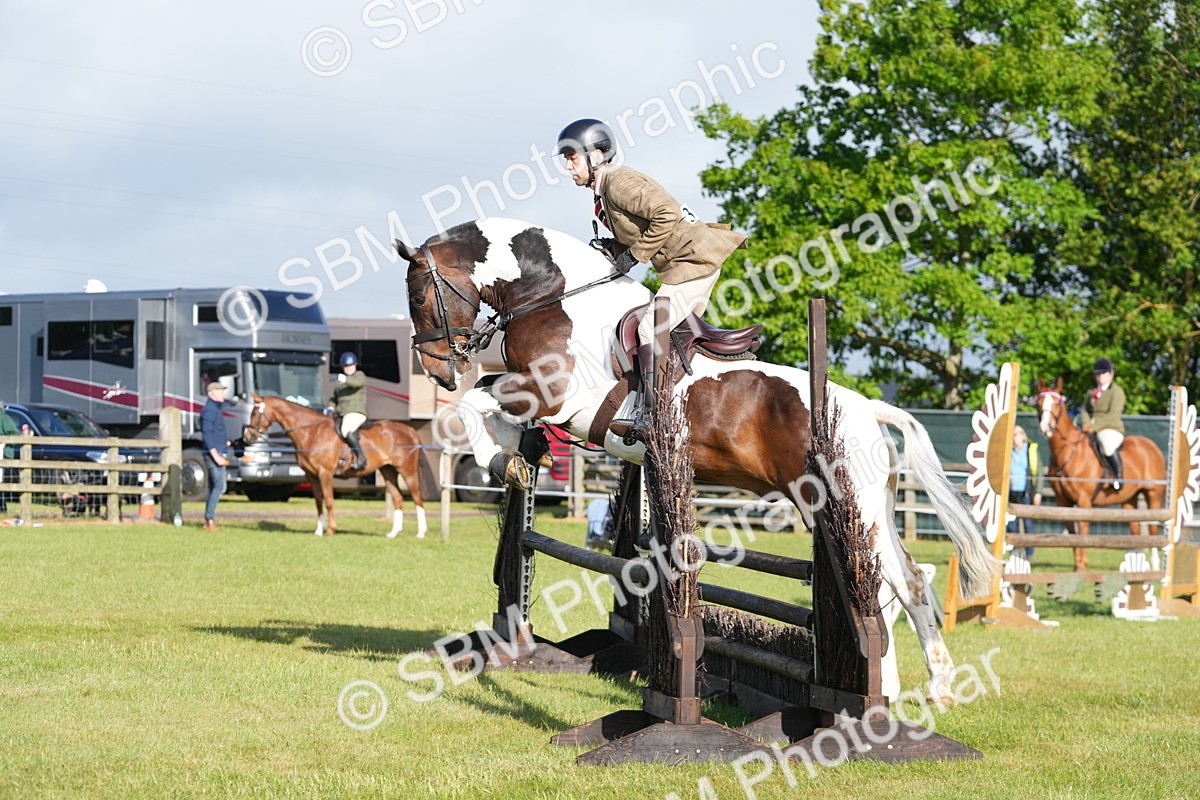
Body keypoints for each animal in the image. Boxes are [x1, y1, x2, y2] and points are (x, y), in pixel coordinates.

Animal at [243, 395, 428, 539]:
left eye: (254, 413)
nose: (247, 438)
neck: (312, 432)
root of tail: (410, 430)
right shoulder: (311, 475)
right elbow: (318, 501)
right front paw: (318, 531)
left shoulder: (325, 473)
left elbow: (329, 500)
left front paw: (331, 529)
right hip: (388, 471)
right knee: (398, 498)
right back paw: (393, 533)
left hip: (407, 471)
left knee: (417, 497)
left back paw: (421, 533)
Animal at [395, 217, 998, 705]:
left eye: (420, 296)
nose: (439, 371)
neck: (557, 300)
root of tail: (869, 408)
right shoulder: (537, 396)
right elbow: (490, 402)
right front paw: (515, 455)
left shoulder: (558, 398)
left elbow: (477, 404)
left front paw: (501, 461)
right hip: (868, 508)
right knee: (904, 583)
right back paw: (906, 691)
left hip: (849, 507)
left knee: (894, 585)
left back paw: (919, 693)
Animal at [1034, 378, 1167, 570]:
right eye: (1038, 403)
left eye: (1057, 403)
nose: (1046, 427)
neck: (1068, 452)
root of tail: (1152, 446)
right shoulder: (1063, 502)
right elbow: (1072, 533)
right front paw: (1077, 567)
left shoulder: (1083, 501)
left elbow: (1082, 531)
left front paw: (1081, 567)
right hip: (1129, 500)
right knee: (1135, 530)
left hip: (1153, 495)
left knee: (1153, 529)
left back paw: (1155, 567)